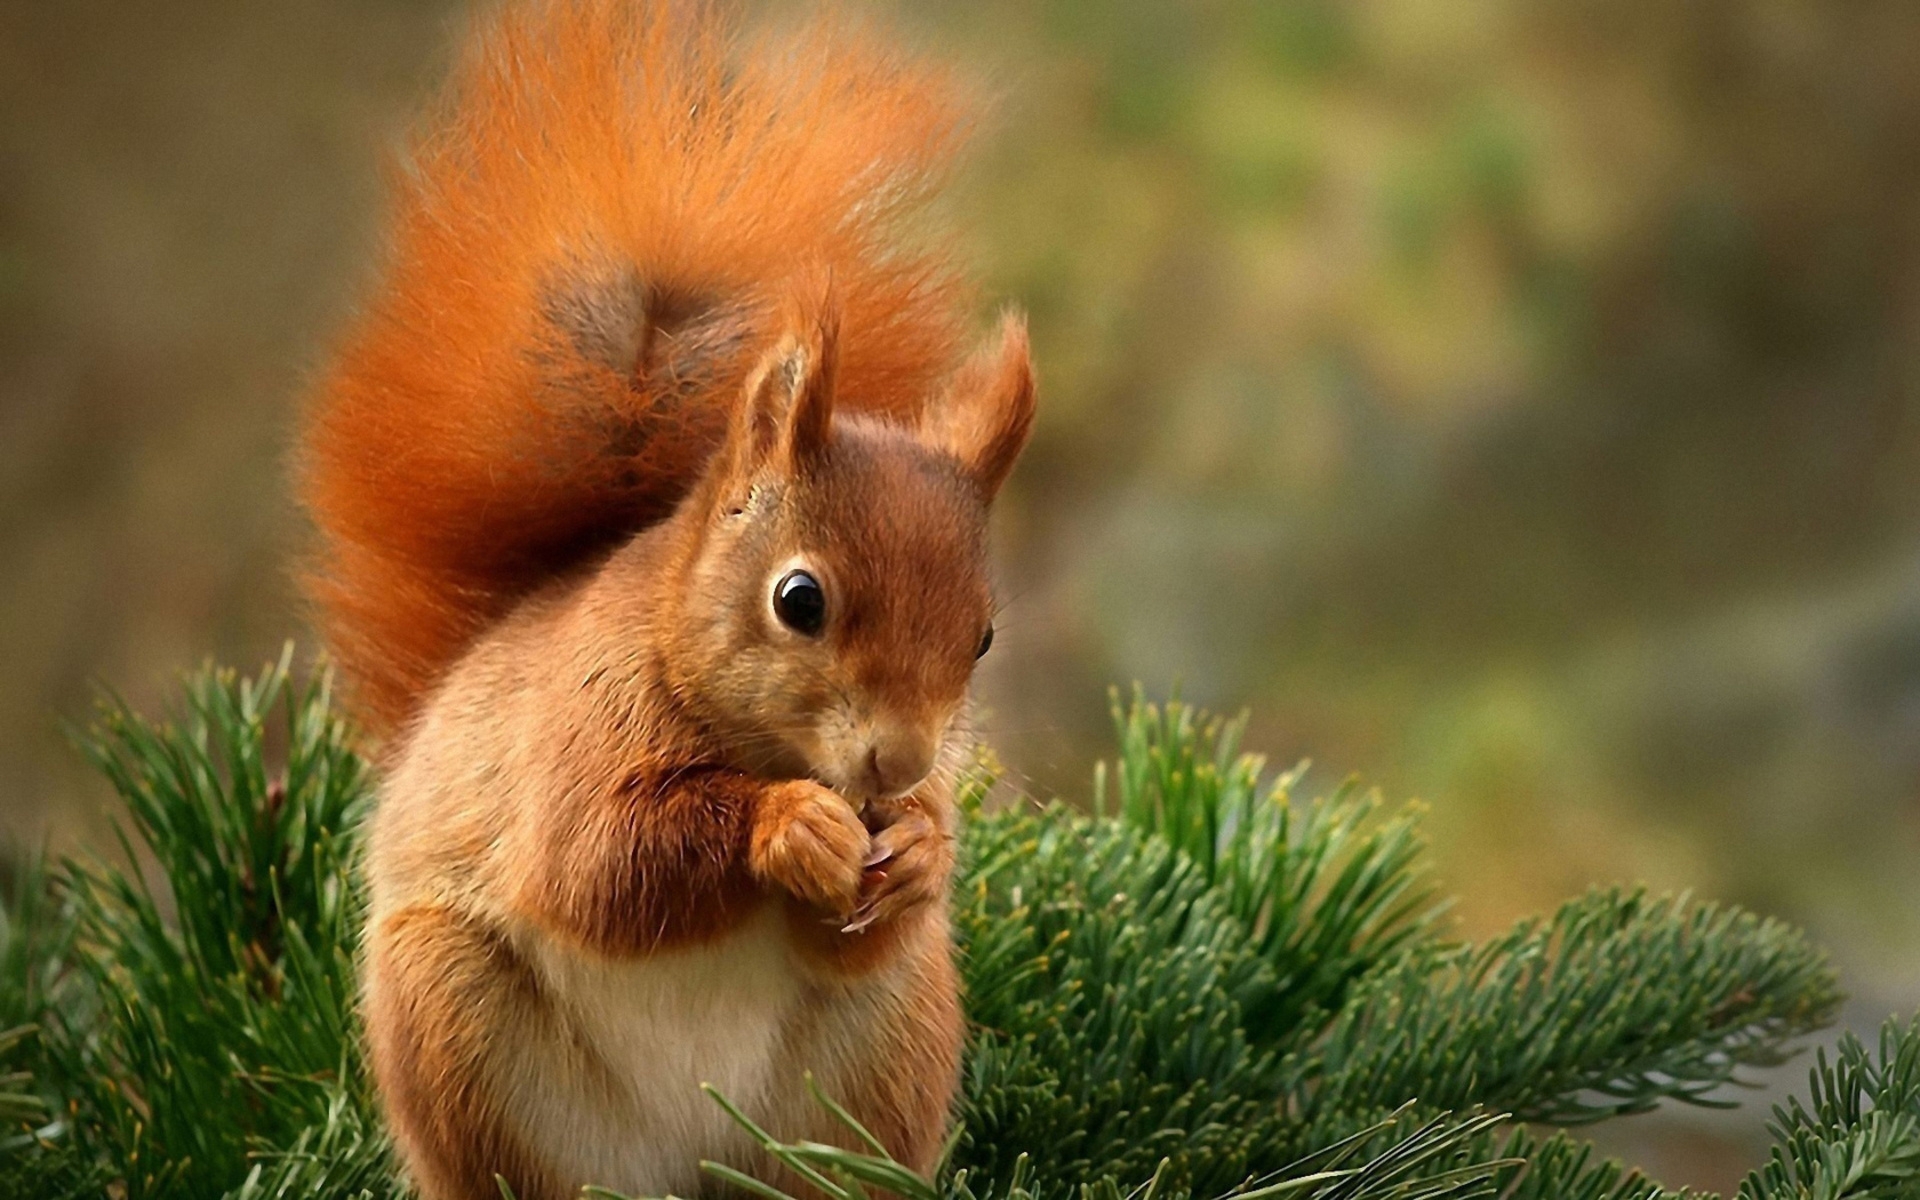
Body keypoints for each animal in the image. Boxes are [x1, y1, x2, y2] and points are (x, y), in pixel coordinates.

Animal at [296, 2, 1034, 1198]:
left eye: (982, 636)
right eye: (798, 599)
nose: (901, 764)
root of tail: (694, 1165)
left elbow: (864, 920)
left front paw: (923, 850)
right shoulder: (579, 731)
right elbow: (600, 863)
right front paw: (788, 826)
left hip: (886, 1049)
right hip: (454, 1024)